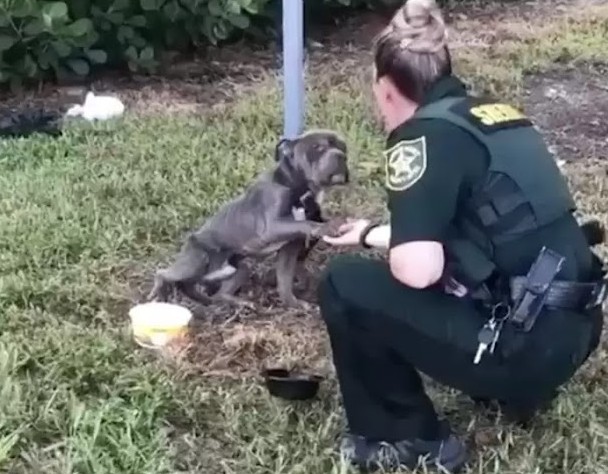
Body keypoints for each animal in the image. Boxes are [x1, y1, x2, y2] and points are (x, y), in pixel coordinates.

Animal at [144, 130, 350, 308]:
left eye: (342, 146)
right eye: (317, 147)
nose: (341, 155)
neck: (298, 188)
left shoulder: (289, 249)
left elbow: (285, 281)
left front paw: (294, 303)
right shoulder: (272, 226)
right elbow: (306, 223)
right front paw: (328, 226)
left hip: (239, 270)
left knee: (216, 293)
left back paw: (240, 303)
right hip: (198, 260)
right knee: (164, 274)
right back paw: (160, 292)